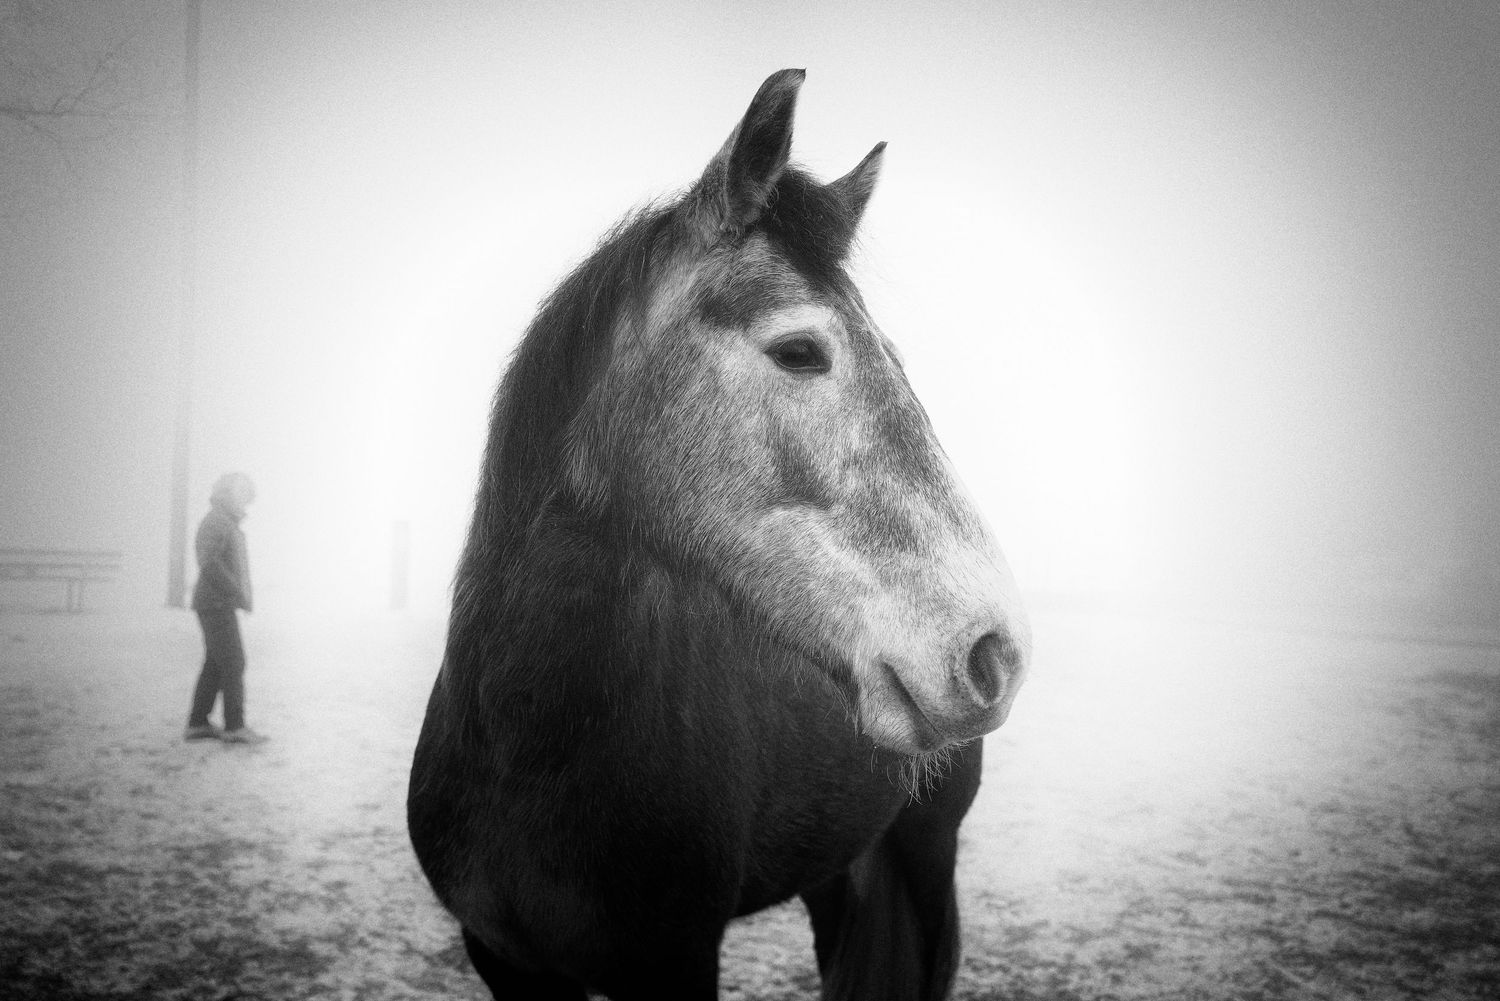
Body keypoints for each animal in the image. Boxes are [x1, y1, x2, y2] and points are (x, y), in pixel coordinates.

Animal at [407, 69, 1031, 1001]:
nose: (996, 652)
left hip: (926, 853)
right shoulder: (502, 957)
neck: (528, 751)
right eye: (801, 350)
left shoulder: (674, 960)